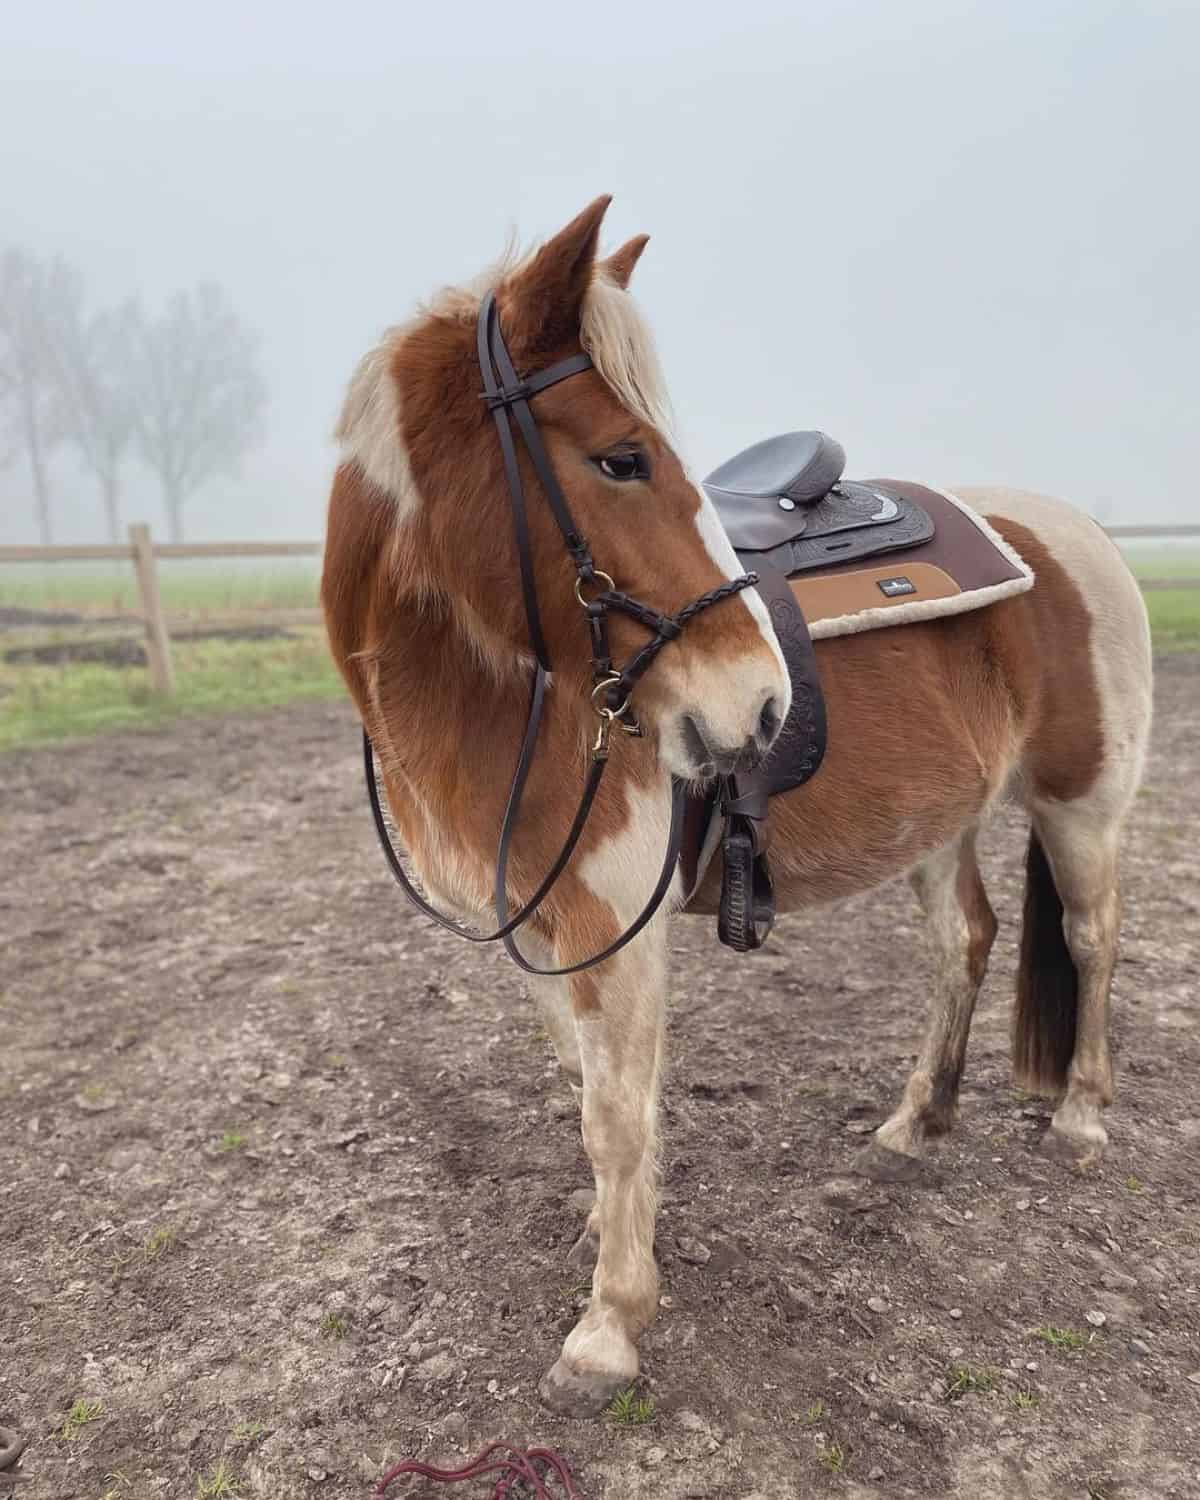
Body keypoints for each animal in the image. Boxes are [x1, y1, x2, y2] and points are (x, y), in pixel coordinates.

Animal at [318, 199, 1152, 1416]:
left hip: (1082, 804)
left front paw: (611, 1326)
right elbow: (585, 1085)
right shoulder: (543, 926)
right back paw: (914, 1125)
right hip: (941, 823)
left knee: (1091, 941)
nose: (762, 705)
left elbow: (615, 1113)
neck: (514, 697)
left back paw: (1083, 1116)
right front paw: (606, 1238)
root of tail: (1069, 527)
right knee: (965, 941)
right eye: (621, 458)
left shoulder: (619, 925)